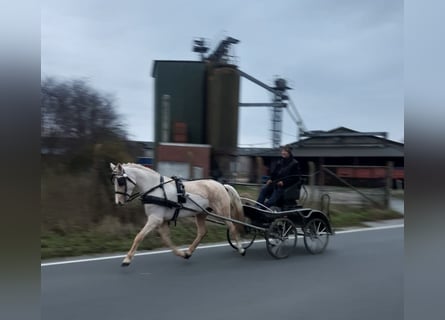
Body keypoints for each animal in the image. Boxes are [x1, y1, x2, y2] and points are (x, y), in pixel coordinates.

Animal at [109, 162, 245, 264]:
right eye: (114, 181)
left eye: (120, 181)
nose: (118, 202)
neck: (156, 188)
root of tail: (222, 185)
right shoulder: (162, 221)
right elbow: (166, 240)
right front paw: (181, 254)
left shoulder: (155, 219)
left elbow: (139, 237)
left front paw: (127, 259)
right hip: (201, 214)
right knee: (202, 232)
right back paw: (189, 252)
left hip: (223, 213)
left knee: (232, 228)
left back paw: (241, 249)